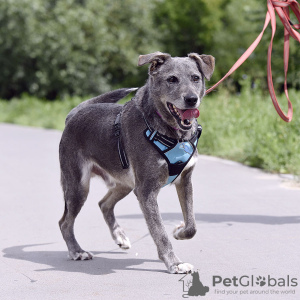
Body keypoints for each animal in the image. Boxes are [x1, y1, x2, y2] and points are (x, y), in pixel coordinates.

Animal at [58, 52, 213, 274]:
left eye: (195, 78)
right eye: (172, 79)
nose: (191, 99)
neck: (171, 133)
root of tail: (72, 116)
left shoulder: (185, 181)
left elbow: (191, 225)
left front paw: (179, 231)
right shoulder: (146, 191)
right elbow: (159, 231)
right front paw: (174, 263)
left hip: (125, 183)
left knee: (104, 204)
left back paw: (119, 236)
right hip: (78, 186)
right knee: (65, 222)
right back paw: (77, 251)